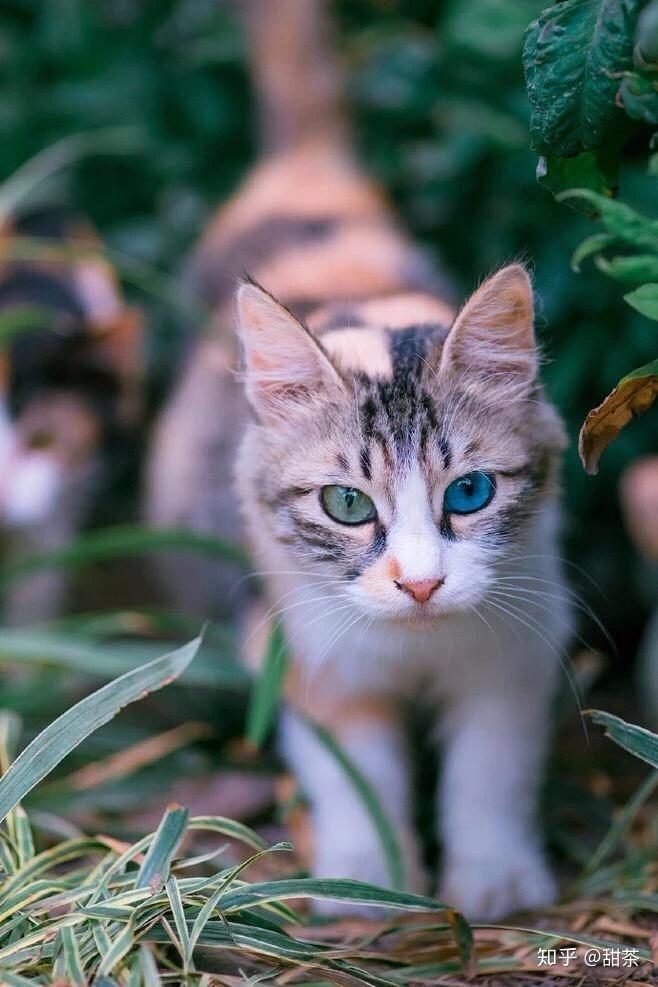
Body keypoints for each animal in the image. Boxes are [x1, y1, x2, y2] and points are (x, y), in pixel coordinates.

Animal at [146, 0, 572, 924]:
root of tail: (305, 182)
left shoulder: (518, 642)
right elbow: (356, 773)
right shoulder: (301, 642)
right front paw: (368, 877)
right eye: (346, 504)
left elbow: (489, 771)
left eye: (470, 492)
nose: (420, 582)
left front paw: (494, 875)